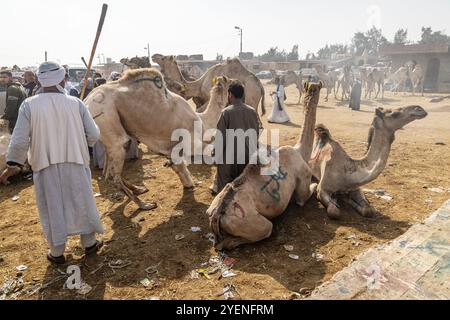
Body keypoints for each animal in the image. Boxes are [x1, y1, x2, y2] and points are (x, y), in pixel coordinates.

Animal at [85, 68, 229, 210]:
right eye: (230, 83)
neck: (203, 120)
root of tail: (86, 102)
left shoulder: (171, 148)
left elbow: (178, 166)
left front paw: (189, 185)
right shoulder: (192, 141)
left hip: (107, 137)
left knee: (107, 172)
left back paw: (139, 189)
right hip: (107, 119)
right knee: (114, 173)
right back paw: (145, 204)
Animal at [206, 82, 322, 250]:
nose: (313, 88)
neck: (300, 151)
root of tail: (216, 215)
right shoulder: (303, 180)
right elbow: (307, 192)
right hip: (251, 222)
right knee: (262, 230)